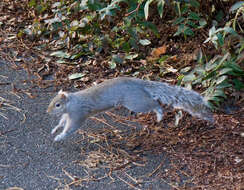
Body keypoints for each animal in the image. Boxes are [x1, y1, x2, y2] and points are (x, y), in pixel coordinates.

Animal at [46, 77, 213, 141]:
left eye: (57, 104)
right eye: (52, 101)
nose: (47, 112)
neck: (71, 103)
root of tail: (138, 83)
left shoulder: (78, 114)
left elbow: (71, 128)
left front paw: (60, 136)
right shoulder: (68, 115)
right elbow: (62, 122)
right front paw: (55, 129)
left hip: (136, 103)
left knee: (154, 103)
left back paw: (159, 114)